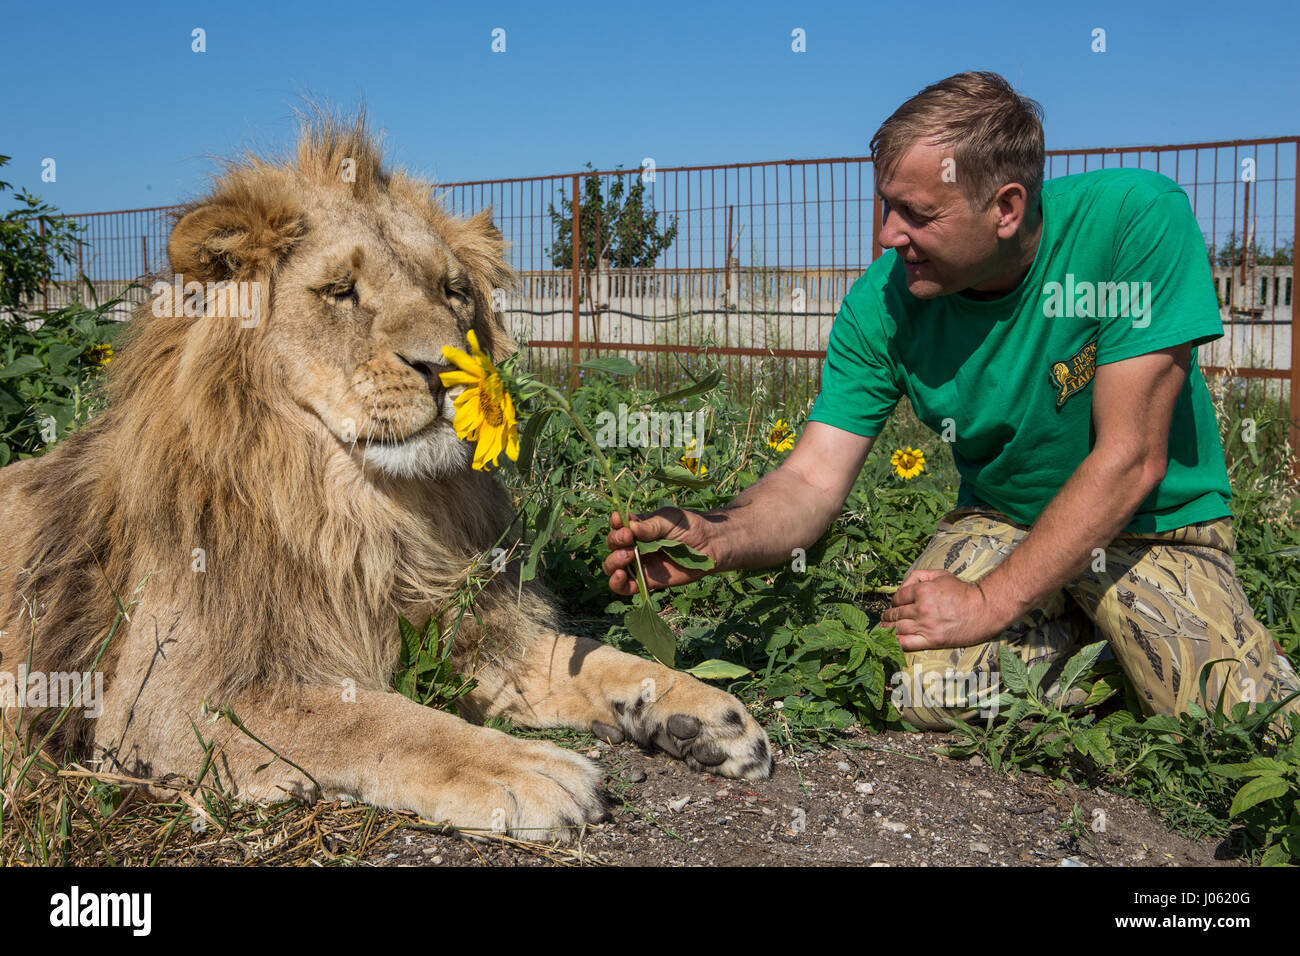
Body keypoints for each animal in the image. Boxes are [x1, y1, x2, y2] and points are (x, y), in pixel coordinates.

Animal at [0, 115, 769, 842]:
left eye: (453, 292)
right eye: (341, 292)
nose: (446, 366)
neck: (371, 513)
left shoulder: (471, 631)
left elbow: (582, 655)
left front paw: (696, 709)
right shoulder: (158, 704)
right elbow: (373, 719)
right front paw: (522, 767)